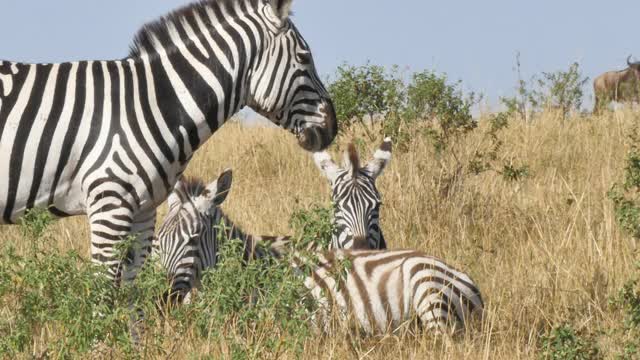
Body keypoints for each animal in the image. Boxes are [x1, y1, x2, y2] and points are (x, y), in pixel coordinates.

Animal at [0, 0, 338, 286]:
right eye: (304, 58)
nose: (332, 128)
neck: (151, 102)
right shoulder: (109, 203)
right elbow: (104, 290)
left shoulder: (143, 209)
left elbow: (132, 293)